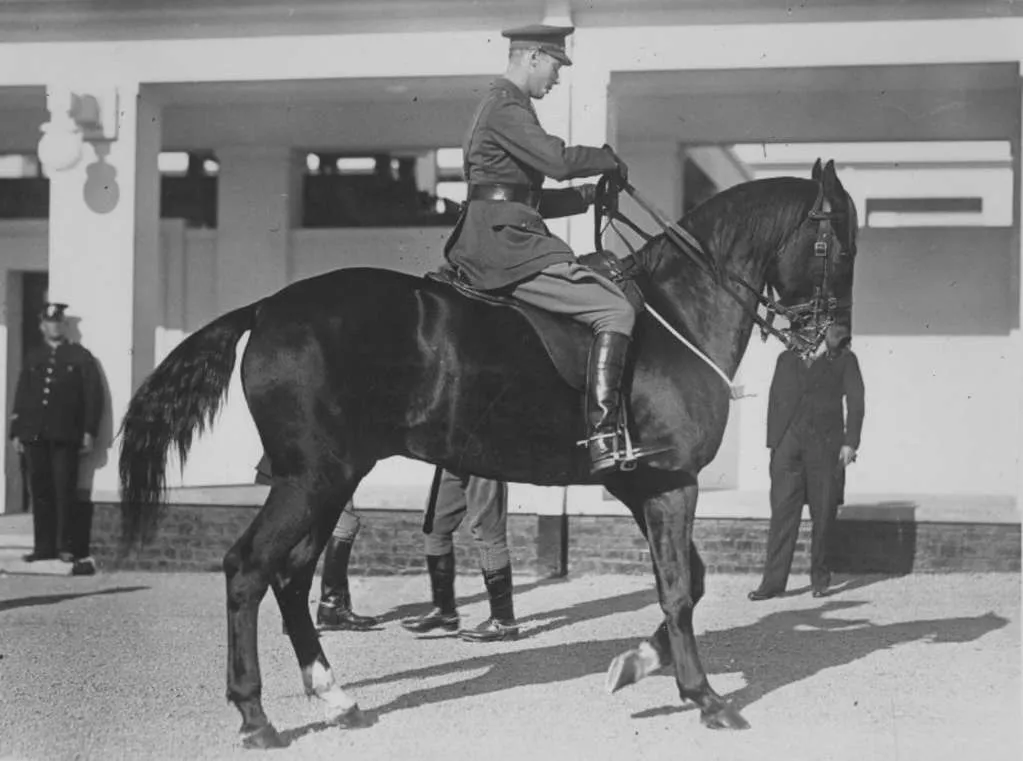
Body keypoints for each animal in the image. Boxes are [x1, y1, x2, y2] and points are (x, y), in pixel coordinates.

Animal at [117, 157, 855, 744]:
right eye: (837, 246)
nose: (833, 342)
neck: (676, 311)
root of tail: (269, 306)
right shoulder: (671, 483)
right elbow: (677, 589)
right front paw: (703, 696)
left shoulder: (643, 485)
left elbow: (690, 582)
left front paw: (635, 666)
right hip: (310, 481)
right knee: (248, 568)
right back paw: (255, 715)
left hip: (329, 481)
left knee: (292, 576)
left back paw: (335, 697)